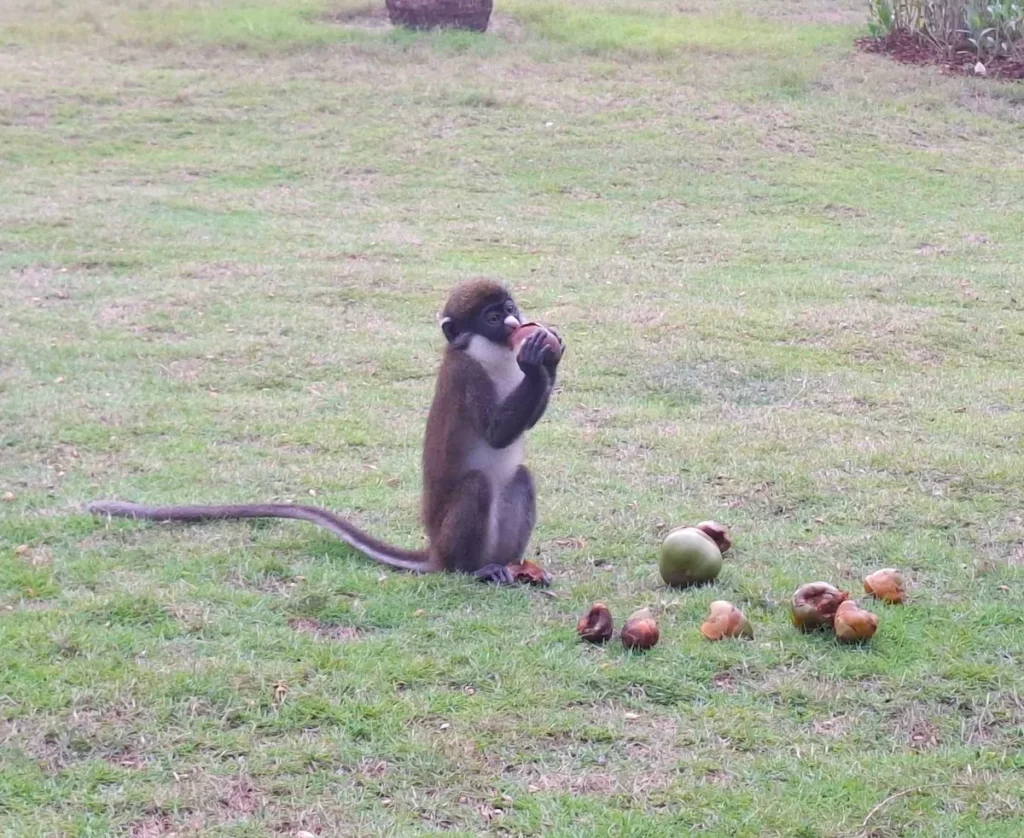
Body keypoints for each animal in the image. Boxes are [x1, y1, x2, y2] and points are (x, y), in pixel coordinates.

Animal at [86, 279, 564, 586]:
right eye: (492, 316)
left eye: (509, 309)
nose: (514, 323)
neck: (489, 354)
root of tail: (435, 551)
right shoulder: (466, 376)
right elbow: (497, 433)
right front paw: (537, 362)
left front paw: (550, 355)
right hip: (451, 539)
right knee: (478, 485)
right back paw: (473, 570)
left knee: (519, 478)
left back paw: (512, 566)